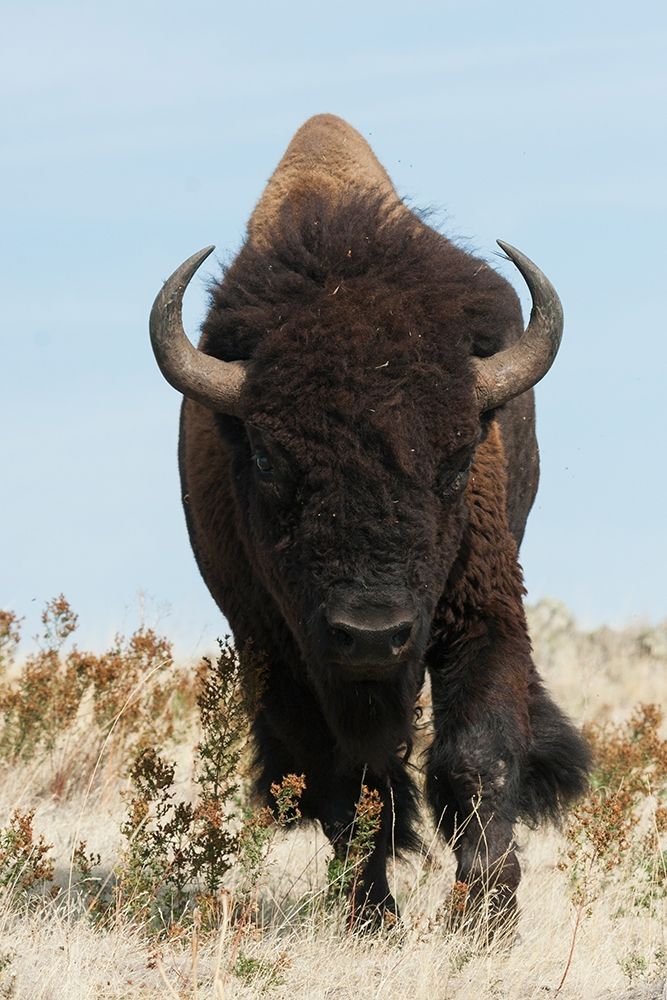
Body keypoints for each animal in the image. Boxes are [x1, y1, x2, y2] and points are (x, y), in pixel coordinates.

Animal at [149, 114, 590, 930]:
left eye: (457, 457)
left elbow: (476, 754)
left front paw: (485, 915)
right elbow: (344, 784)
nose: (372, 634)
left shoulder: (482, 611)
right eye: (265, 458)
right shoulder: (280, 651)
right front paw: (371, 915)